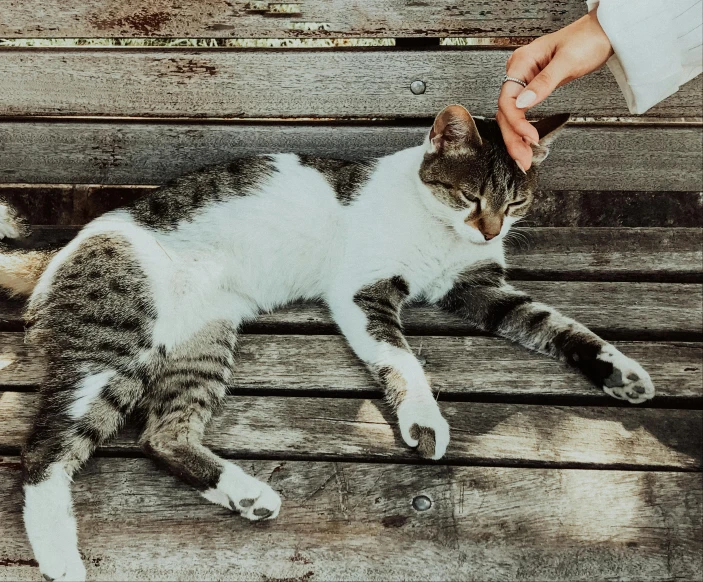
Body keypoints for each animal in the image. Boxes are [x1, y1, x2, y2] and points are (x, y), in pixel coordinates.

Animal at [0, 106, 656, 582]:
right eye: (471, 197)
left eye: (515, 202)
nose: (490, 229)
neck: (441, 230)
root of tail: (57, 254)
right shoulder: (363, 293)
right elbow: (402, 359)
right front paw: (425, 421)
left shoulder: (481, 289)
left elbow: (560, 325)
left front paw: (620, 371)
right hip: (117, 344)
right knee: (43, 450)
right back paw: (60, 557)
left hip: (204, 339)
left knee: (162, 435)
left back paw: (246, 495)